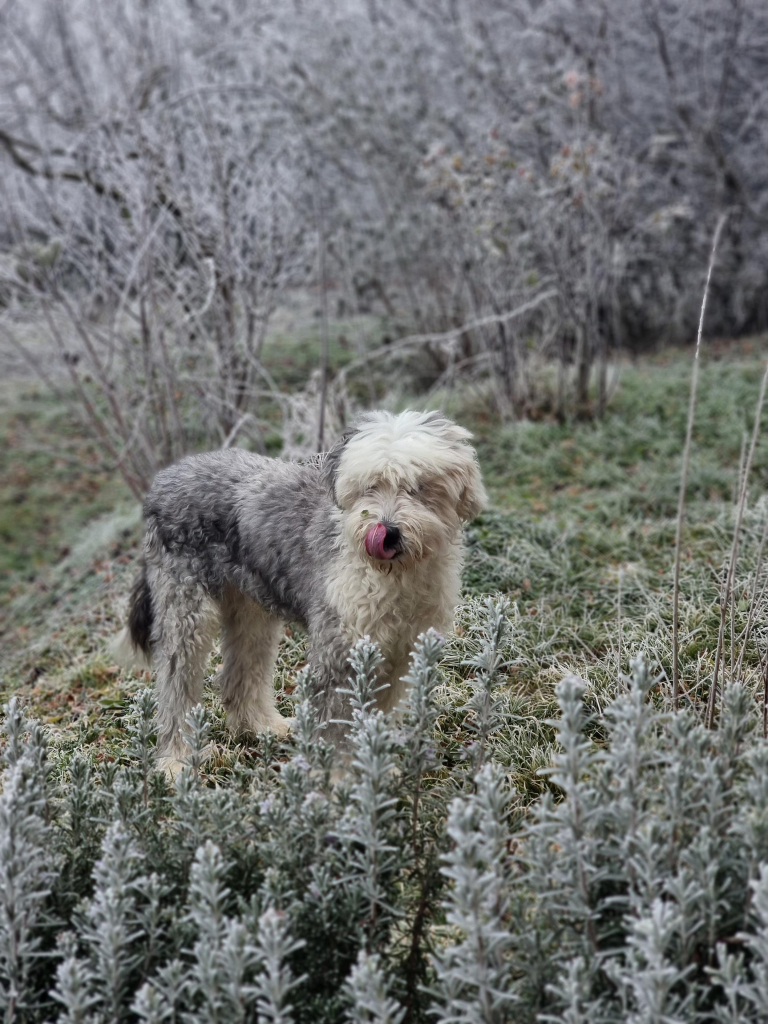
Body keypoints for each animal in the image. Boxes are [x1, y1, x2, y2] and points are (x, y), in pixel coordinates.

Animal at [114, 405, 487, 770]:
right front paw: (340, 780)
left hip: (251, 611)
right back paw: (175, 760)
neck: (394, 577)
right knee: (176, 686)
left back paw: (261, 726)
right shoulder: (338, 654)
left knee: (239, 674)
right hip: (185, 613)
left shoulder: (399, 654)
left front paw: (375, 768)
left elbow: (374, 716)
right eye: (370, 486)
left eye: (418, 487)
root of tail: (163, 480)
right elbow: (337, 729)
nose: (387, 533)